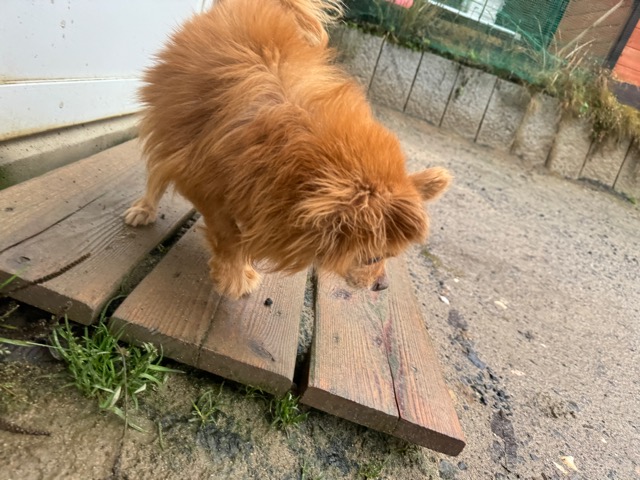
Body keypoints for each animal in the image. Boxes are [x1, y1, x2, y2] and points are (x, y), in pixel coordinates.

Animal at [124, 0, 451, 299]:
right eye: (372, 258)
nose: (382, 285)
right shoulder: (201, 179)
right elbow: (230, 235)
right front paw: (235, 276)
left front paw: (240, 268)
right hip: (169, 120)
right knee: (156, 171)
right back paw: (144, 208)